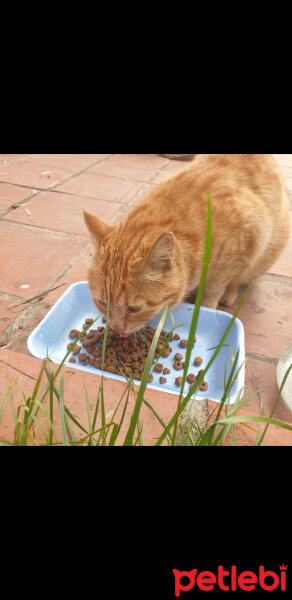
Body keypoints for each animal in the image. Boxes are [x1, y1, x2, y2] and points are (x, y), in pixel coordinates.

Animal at [83, 154, 290, 338]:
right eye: (102, 303)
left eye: (134, 308)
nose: (116, 329)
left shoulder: (244, 246)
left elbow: (214, 291)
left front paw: (209, 309)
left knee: (240, 280)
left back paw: (229, 294)